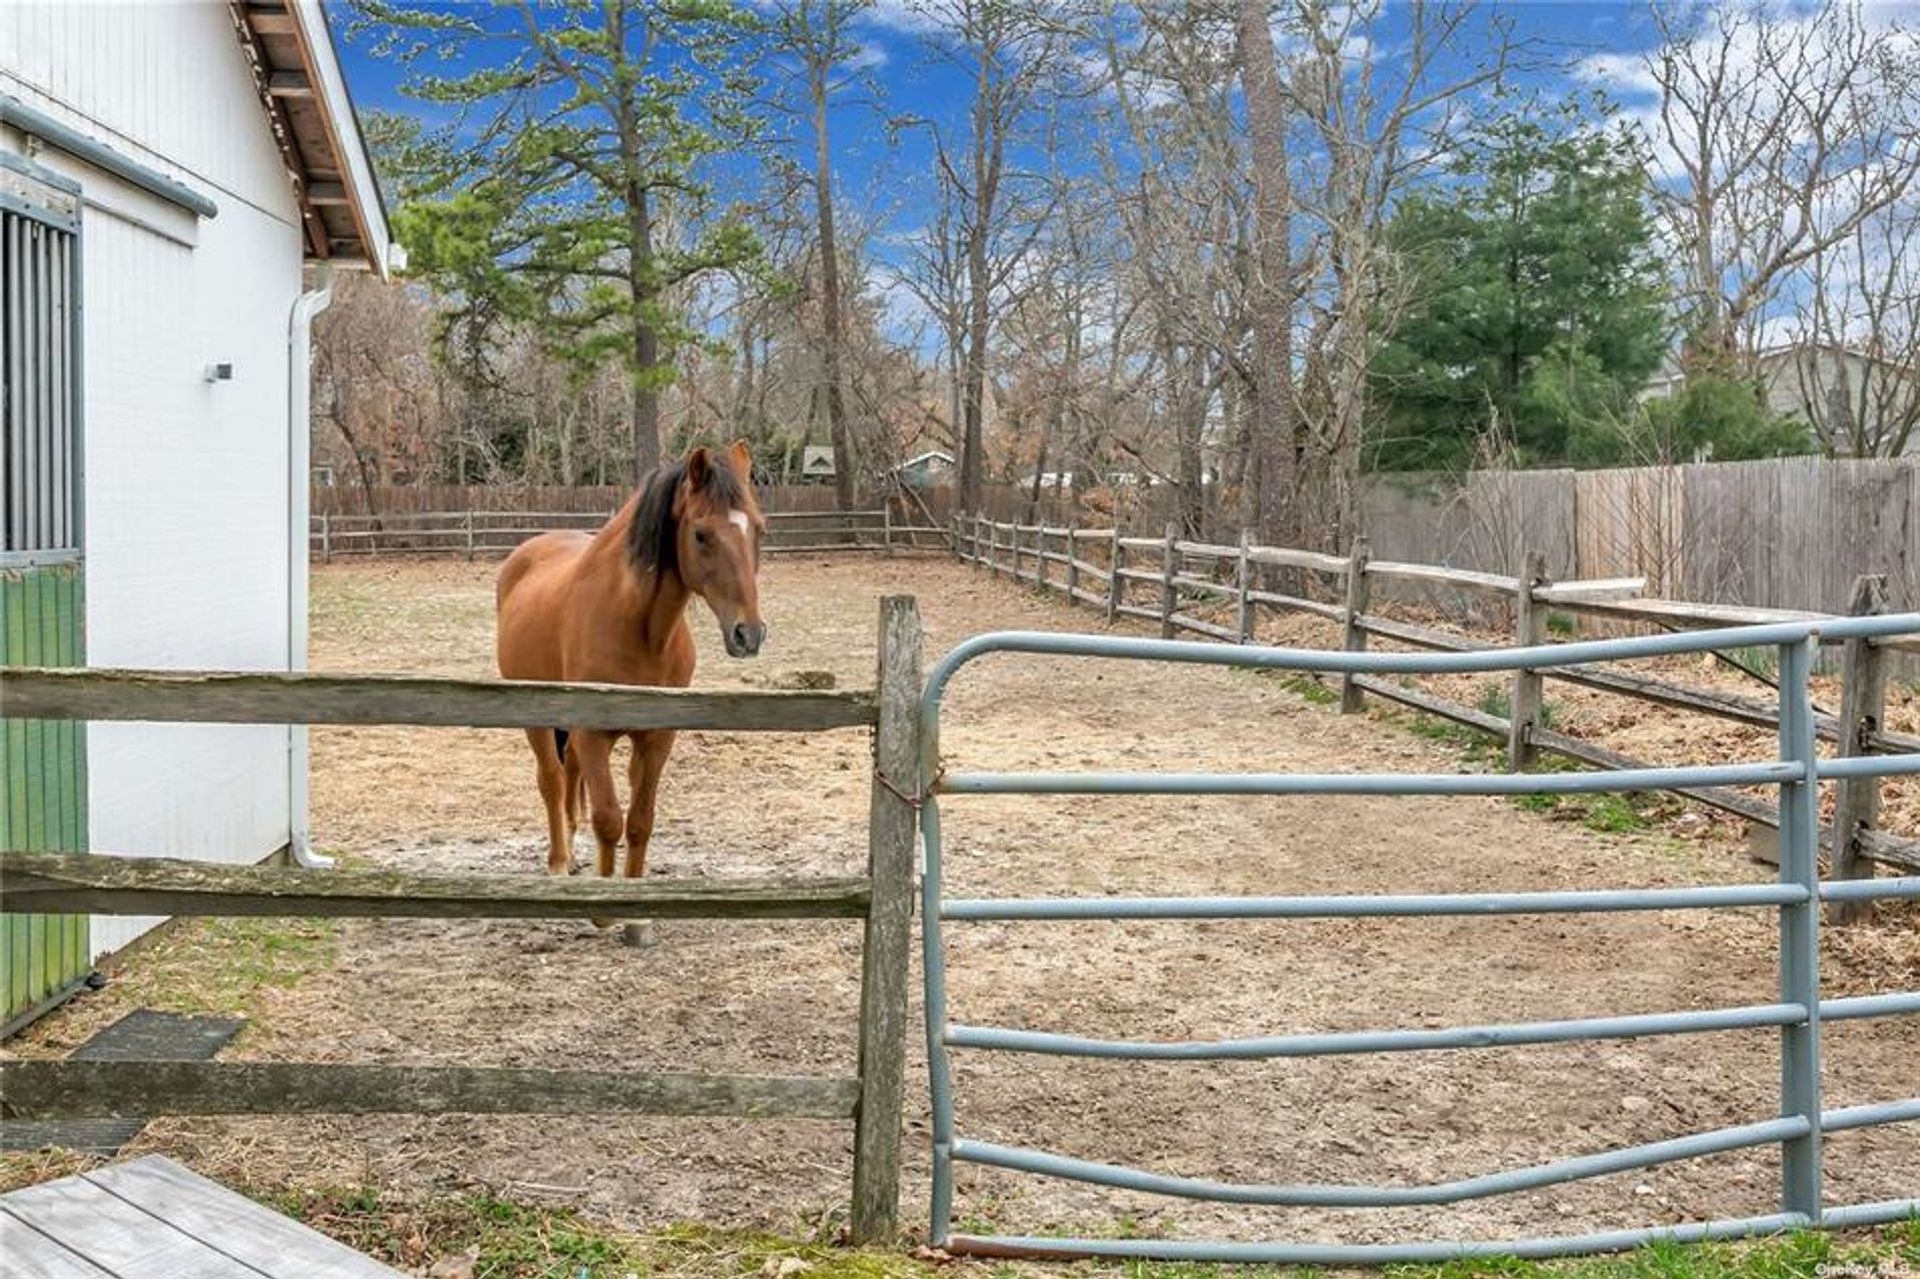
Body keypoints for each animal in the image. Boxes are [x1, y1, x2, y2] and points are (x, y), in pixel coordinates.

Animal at [495, 441, 764, 906]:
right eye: (701, 535)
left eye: (759, 530)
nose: (749, 634)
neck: (637, 628)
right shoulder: (593, 734)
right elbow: (608, 819)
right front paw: (606, 905)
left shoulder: (656, 738)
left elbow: (640, 821)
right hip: (535, 718)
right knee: (552, 780)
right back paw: (559, 861)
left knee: (569, 774)